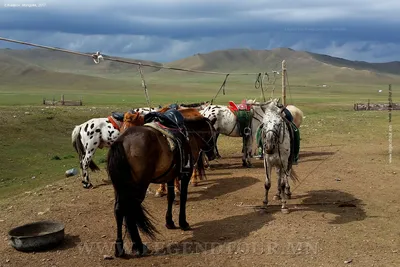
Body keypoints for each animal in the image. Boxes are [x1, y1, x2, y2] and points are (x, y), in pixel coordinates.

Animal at [106, 114, 217, 258]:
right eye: (214, 134)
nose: (213, 155)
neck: (190, 134)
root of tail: (121, 141)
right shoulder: (185, 175)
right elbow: (183, 197)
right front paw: (183, 223)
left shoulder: (170, 177)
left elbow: (171, 197)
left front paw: (169, 222)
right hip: (137, 188)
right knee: (130, 210)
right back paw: (139, 246)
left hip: (120, 188)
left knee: (119, 210)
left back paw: (120, 248)